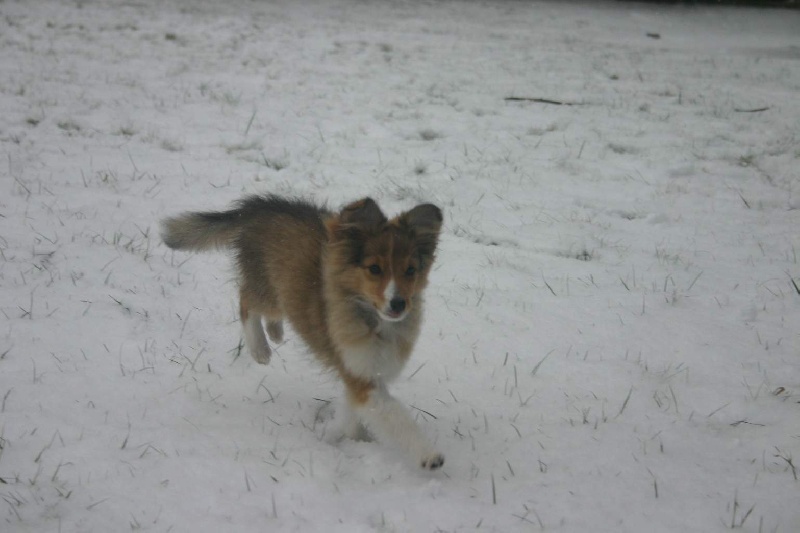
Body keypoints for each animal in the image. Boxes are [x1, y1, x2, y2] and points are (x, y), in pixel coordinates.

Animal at [158, 196, 444, 470]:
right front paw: (428, 456)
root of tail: (259, 208)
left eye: (410, 270)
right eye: (374, 269)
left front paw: (349, 437)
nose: (399, 304)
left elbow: (356, 410)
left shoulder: (366, 372)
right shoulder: (360, 375)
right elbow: (394, 414)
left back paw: (275, 332)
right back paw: (260, 348)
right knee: (246, 300)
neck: (371, 317)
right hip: (267, 290)